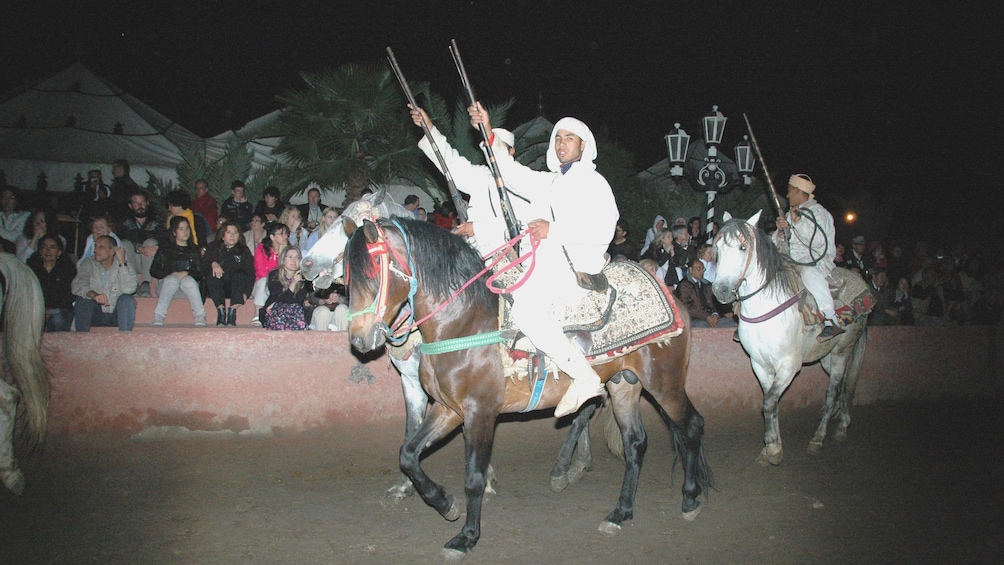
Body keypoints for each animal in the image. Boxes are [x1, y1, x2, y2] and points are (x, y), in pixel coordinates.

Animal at [349, 218, 710, 557]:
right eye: (347, 276)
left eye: (373, 272)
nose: (359, 339)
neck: (465, 321)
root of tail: (671, 297)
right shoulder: (449, 409)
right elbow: (408, 453)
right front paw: (443, 503)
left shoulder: (480, 413)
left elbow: (474, 477)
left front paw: (466, 537)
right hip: (624, 386)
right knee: (635, 443)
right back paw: (620, 513)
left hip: (665, 383)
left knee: (691, 425)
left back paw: (690, 499)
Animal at [714, 210, 871, 463]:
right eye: (717, 248)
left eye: (742, 247)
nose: (721, 290)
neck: (766, 306)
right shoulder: (760, 364)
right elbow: (772, 401)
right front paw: (772, 446)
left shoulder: (788, 365)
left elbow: (769, 403)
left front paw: (772, 448)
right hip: (826, 357)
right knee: (844, 386)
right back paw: (842, 424)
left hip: (842, 352)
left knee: (833, 391)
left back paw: (818, 438)